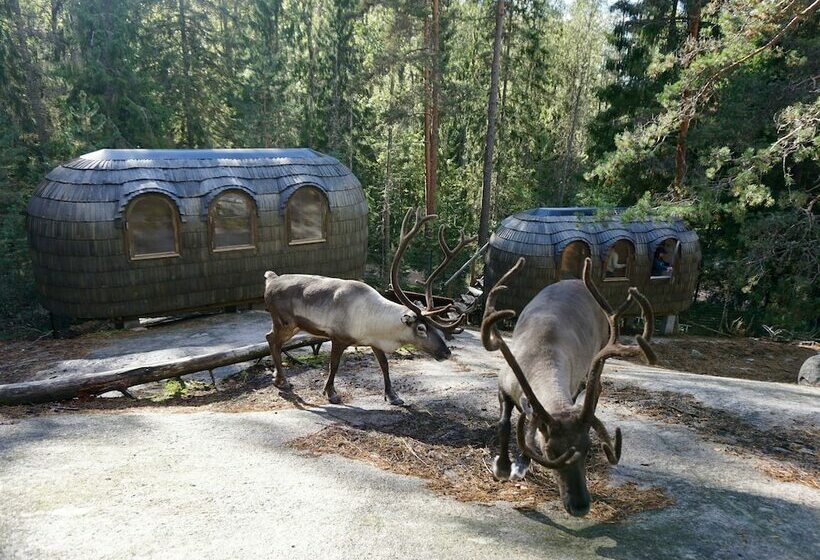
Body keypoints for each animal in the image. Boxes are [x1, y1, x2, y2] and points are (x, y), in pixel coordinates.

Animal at [263, 208, 473, 405]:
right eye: (421, 328)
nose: (446, 352)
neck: (375, 321)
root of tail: (270, 280)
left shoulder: (374, 341)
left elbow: (384, 365)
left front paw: (393, 396)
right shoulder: (338, 337)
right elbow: (334, 365)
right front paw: (331, 393)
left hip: (292, 325)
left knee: (271, 339)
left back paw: (278, 378)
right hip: (285, 322)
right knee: (273, 340)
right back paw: (282, 380)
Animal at [481, 256, 656, 517]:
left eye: (587, 448)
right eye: (550, 451)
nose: (580, 506)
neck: (540, 356)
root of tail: (577, 281)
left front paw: (521, 464)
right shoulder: (503, 385)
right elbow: (504, 424)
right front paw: (502, 468)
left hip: (601, 346)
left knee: (598, 384)